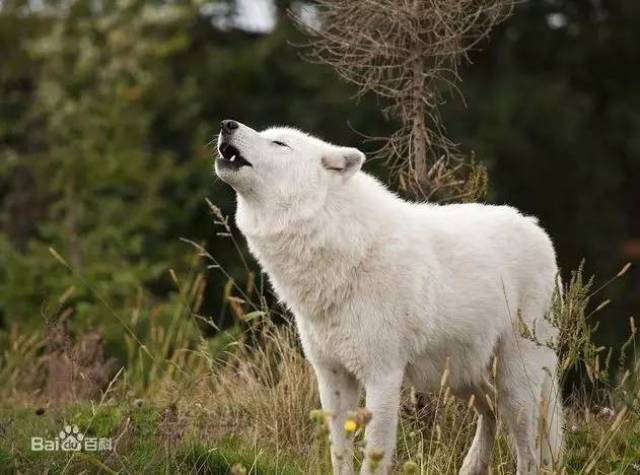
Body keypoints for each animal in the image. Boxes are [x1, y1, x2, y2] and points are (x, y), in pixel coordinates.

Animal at [214, 120, 560, 475]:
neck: (343, 248)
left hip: (515, 381)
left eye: (280, 143)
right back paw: (470, 467)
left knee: (528, 452)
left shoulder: (383, 377)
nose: (227, 124)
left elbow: (374, 456)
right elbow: (340, 454)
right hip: (460, 376)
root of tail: (536, 228)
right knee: (490, 410)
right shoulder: (332, 376)